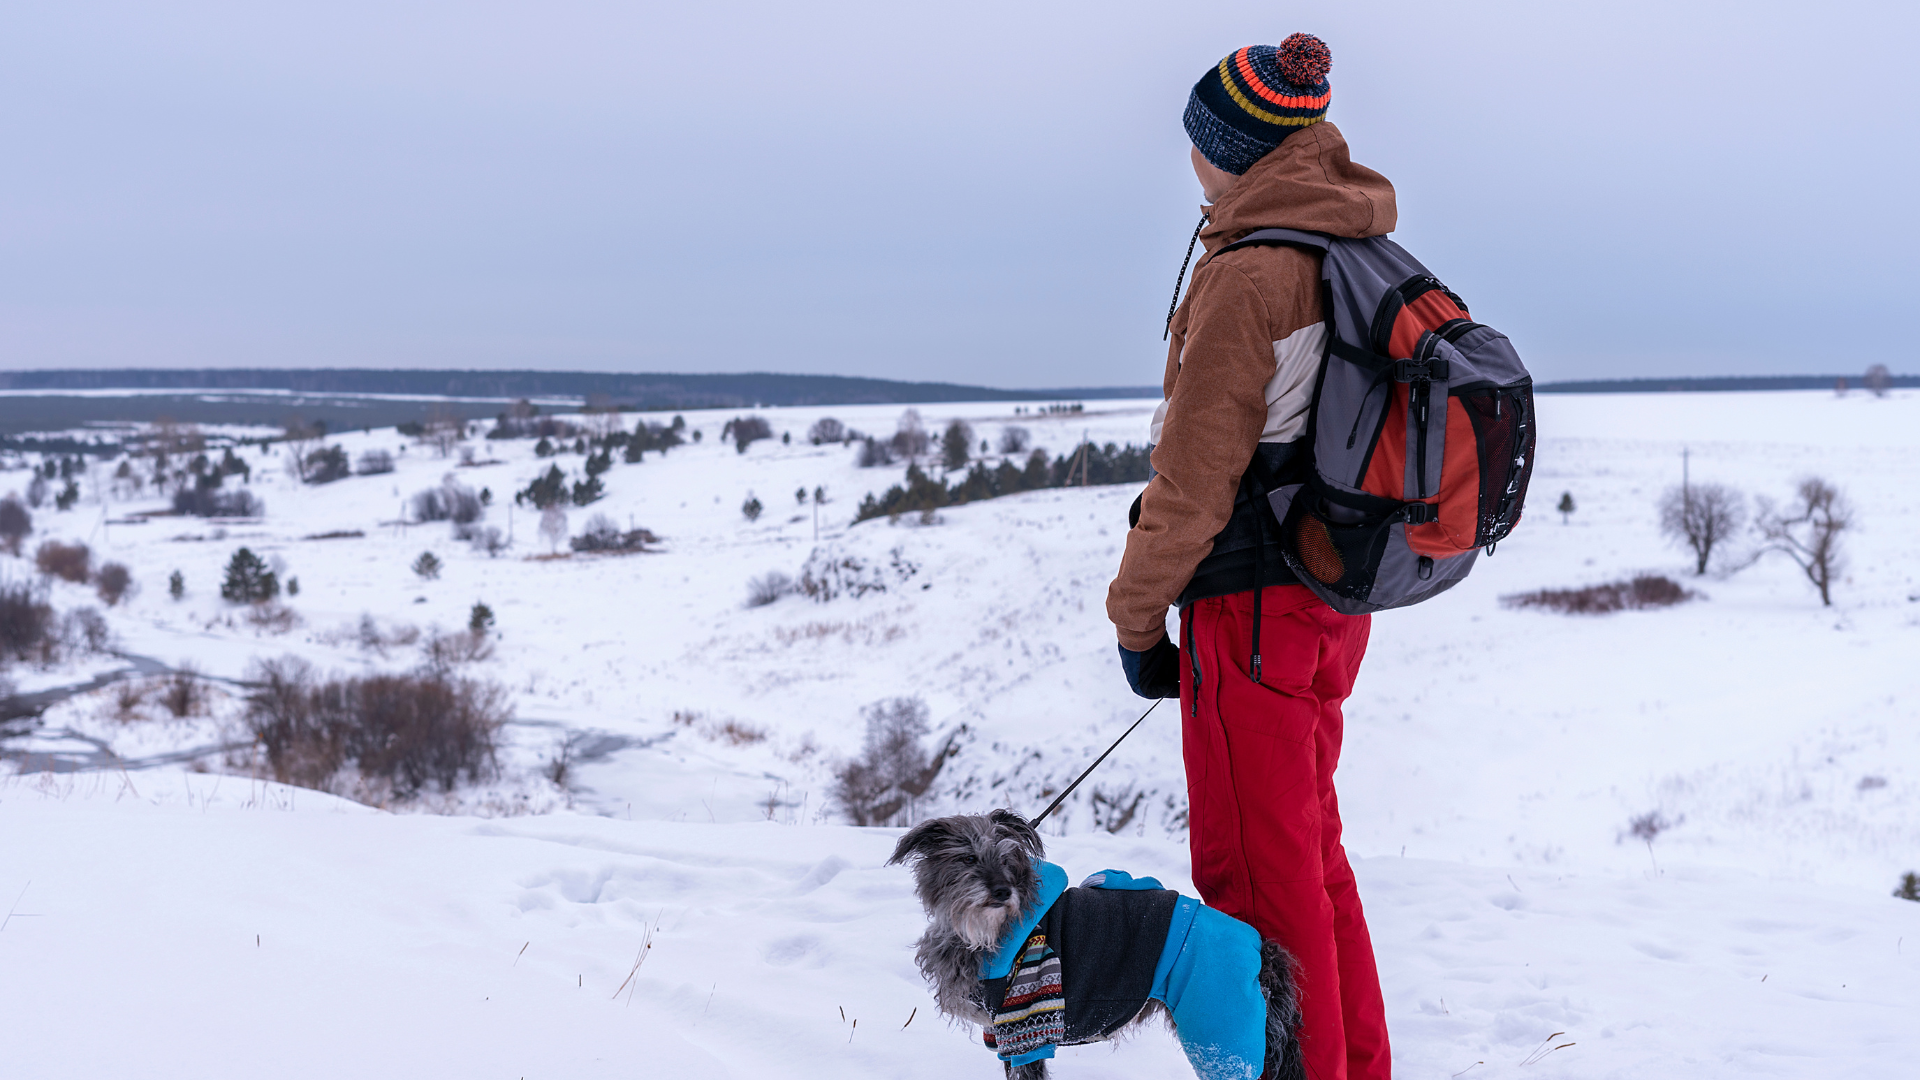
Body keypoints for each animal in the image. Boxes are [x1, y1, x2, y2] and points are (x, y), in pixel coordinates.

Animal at [887, 807, 1305, 1076]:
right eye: (968, 858)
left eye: (1009, 859)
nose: (1003, 891)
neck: (985, 933)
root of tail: (1260, 947)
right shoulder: (1003, 1033)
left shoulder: (1027, 1028)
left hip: (1221, 1032)